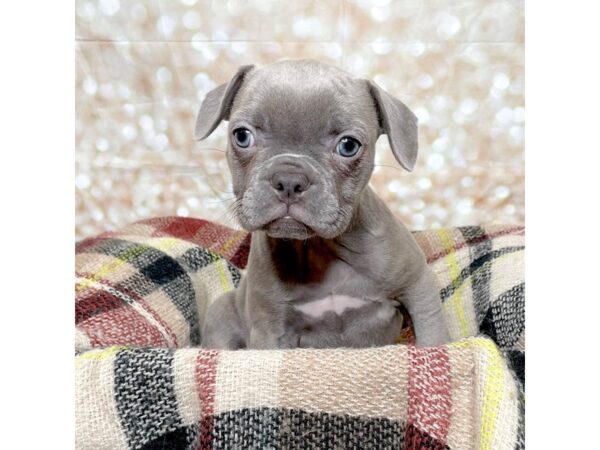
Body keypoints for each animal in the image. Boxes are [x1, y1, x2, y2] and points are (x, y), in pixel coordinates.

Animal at [195, 59, 448, 348]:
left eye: (348, 146)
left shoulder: (418, 286)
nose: (289, 180)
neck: (319, 249)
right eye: (242, 136)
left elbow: (433, 336)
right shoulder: (269, 331)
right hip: (221, 311)